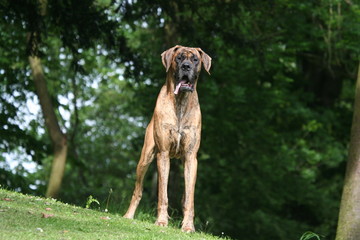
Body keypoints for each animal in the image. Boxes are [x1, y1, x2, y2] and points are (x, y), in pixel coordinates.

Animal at [124, 45, 211, 232]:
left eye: (195, 59)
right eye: (178, 58)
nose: (186, 66)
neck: (181, 102)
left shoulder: (191, 158)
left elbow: (190, 199)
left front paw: (188, 226)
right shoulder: (162, 154)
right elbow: (163, 194)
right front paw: (162, 221)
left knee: (186, 196)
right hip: (145, 159)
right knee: (137, 190)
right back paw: (128, 215)